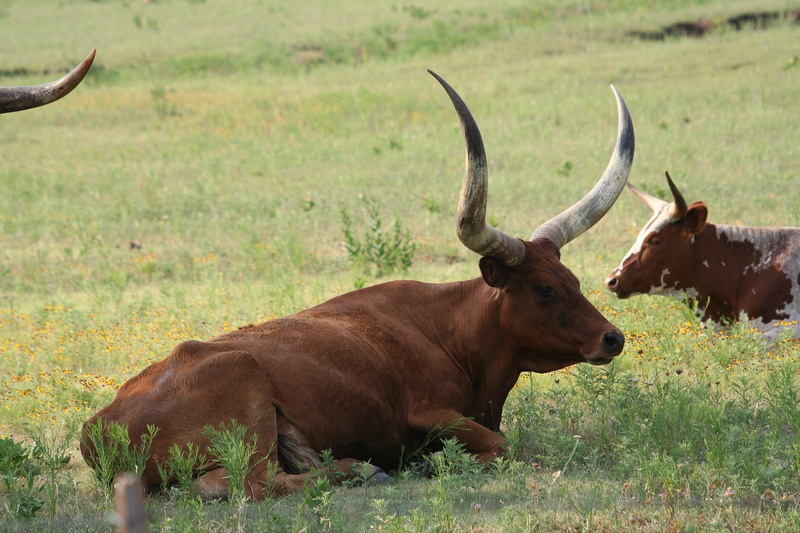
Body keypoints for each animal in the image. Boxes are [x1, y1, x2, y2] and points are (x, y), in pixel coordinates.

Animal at [81, 71, 635, 500]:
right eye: (543, 289)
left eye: (573, 279)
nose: (612, 338)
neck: (451, 331)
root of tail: (96, 429)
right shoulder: (428, 412)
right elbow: (501, 446)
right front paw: (432, 463)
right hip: (246, 390)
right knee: (248, 483)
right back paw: (361, 471)